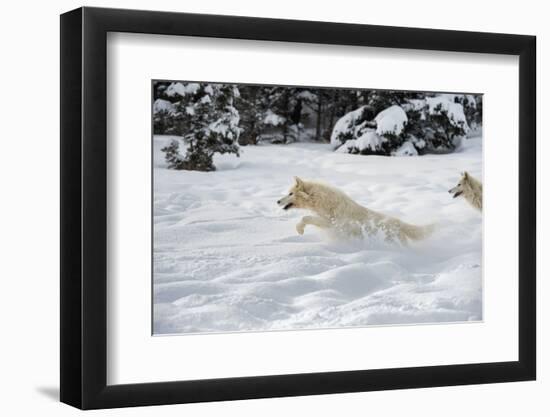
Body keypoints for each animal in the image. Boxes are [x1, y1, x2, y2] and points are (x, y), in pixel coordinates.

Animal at [278, 176, 438, 244]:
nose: (277, 201)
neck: (324, 201)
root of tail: (398, 222)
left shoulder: (333, 224)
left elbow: (305, 218)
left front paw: (300, 230)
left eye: (290, 193)